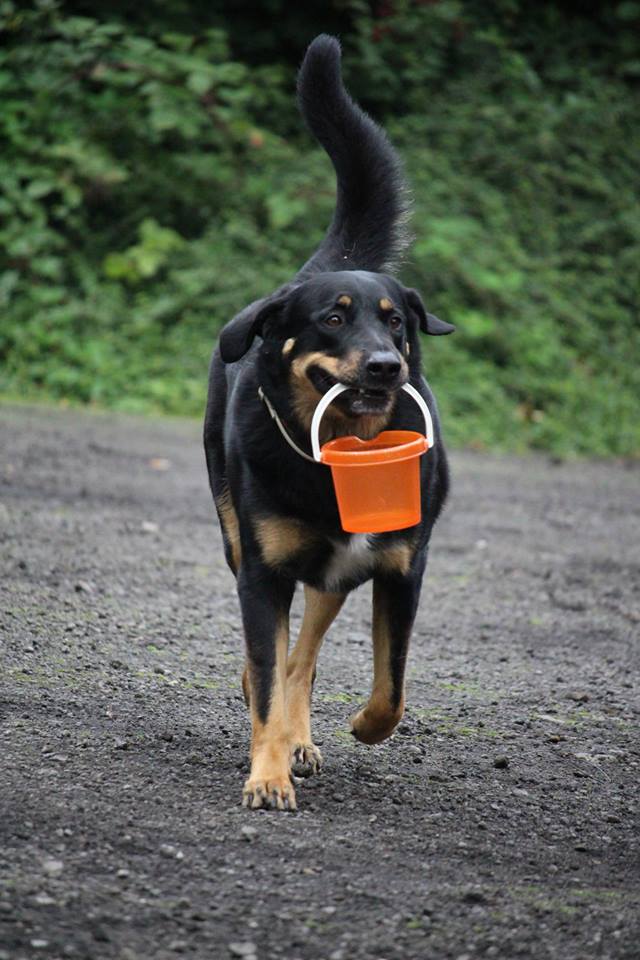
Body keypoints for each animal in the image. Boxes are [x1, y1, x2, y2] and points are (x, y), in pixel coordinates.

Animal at [202, 33, 452, 808]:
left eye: (396, 321)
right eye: (333, 320)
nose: (385, 367)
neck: (344, 453)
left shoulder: (401, 568)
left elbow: (390, 688)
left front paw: (356, 730)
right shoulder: (262, 572)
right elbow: (264, 677)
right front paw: (267, 773)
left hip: (336, 576)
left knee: (305, 655)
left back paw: (302, 736)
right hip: (238, 533)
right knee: (278, 661)